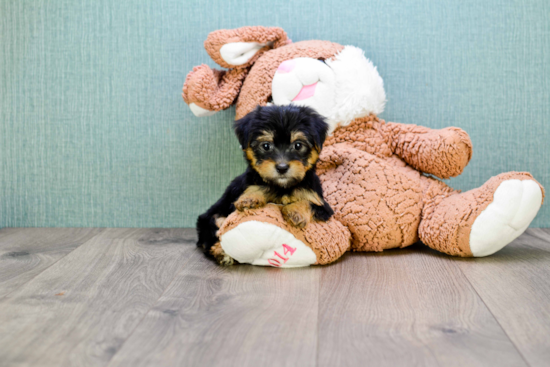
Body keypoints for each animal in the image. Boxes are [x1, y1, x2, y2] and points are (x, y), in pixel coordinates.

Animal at [198, 105, 336, 266]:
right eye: (266, 146)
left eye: (298, 145)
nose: (282, 168)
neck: (283, 186)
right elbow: (262, 186)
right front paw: (250, 198)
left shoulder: (322, 206)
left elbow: (308, 202)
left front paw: (296, 211)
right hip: (212, 217)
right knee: (212, 235)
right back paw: (221, 252)